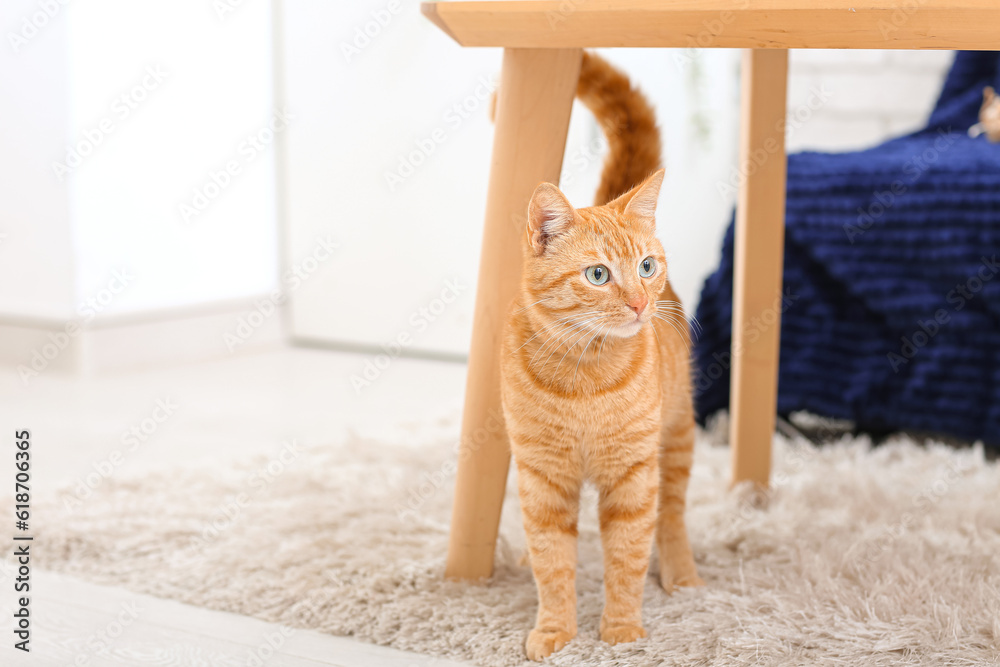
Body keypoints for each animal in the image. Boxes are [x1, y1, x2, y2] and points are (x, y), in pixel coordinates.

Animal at [500, 51, 704, 656]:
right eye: (598, 275)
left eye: (645, 266)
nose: (639, 302)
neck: (584, 375)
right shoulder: (543, 479)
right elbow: (552, 563)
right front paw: (556, 631)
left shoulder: (633, 476)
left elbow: (628, 556)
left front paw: (620, 630)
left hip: (676, 435)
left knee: (673, 514)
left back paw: (681, 573)